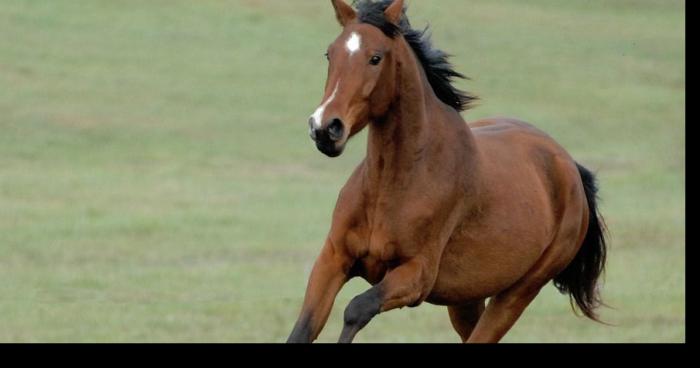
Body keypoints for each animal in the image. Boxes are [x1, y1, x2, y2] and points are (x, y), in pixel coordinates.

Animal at [288, 0, 604, 344]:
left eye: (376, 57)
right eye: (330, 54)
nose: (324, 128)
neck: (394, 183)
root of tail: (571, 169)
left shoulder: (416, 276)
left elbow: (356, 309)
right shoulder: (333, 260)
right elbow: (303, 328)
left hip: (517, 294)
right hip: (466, 299)